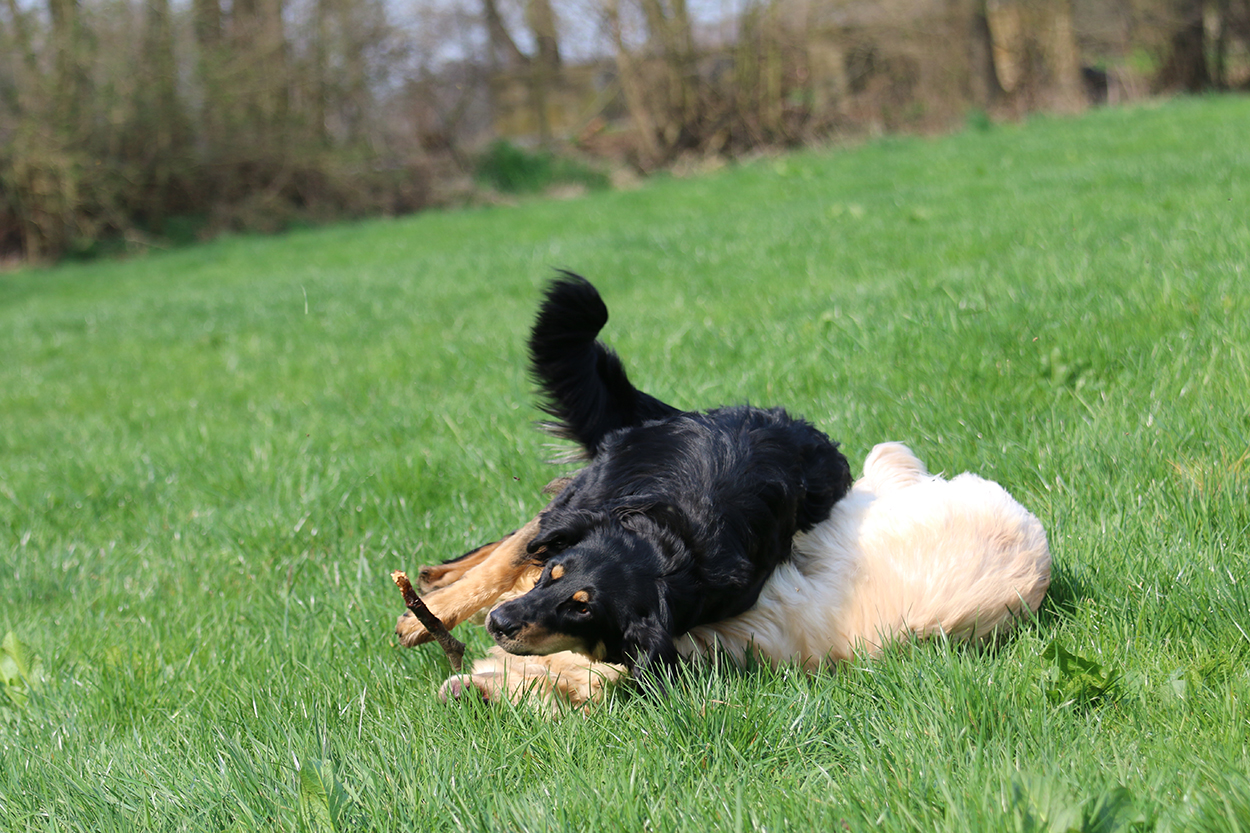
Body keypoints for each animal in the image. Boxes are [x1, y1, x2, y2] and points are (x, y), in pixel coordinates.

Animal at [398, 274, 853, 678]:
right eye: (554, 574)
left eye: (582, 608)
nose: (500, 622)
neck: (672, 541)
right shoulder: (581, 508)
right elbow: (506, 563)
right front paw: (429, 616)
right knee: (516, 539)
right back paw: (441, 580)